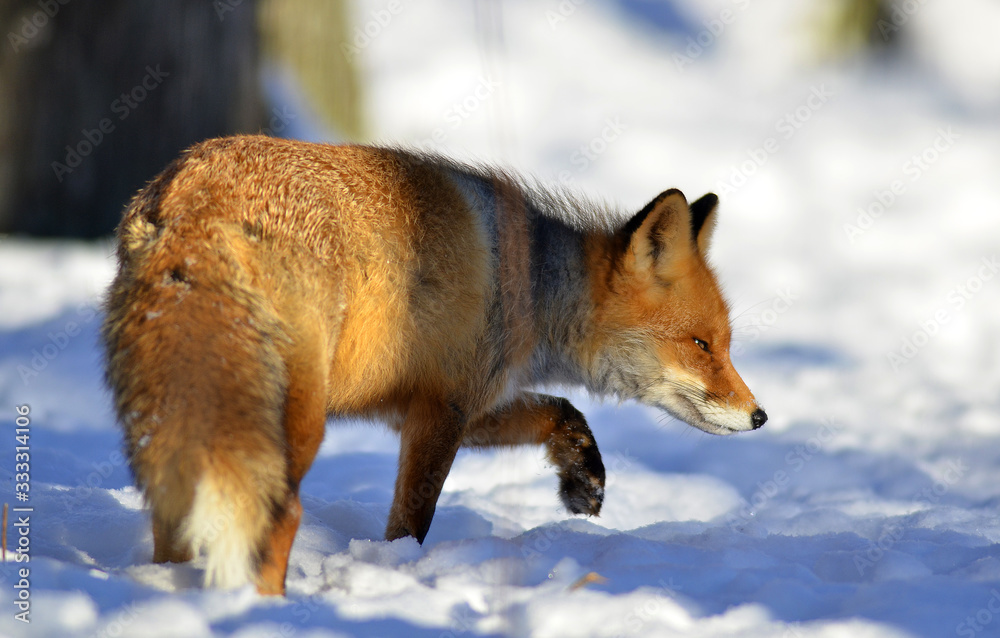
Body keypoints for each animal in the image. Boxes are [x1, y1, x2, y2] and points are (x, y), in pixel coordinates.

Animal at [102, 135, 766, 595]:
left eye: (726, 344)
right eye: (701, 344)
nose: (759, 416)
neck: (526, 283)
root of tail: (194, 195)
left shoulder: (445, 401)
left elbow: (561, 411)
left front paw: (585, 480)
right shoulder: (442, 409)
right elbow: (411, 523)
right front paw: (397, 575)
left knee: (175, 514)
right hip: (296, 421)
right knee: (278, 518)